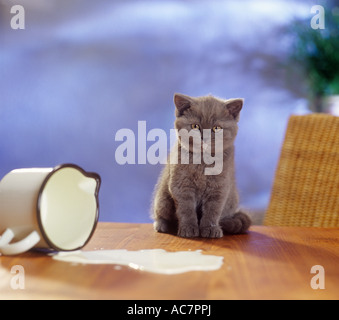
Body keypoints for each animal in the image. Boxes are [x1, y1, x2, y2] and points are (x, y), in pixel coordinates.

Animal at [152, 92, 252, 238]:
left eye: (216, 128)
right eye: (195, 126)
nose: (205, 137)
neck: (203, 163)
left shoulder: (220, 187)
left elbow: (213, 210)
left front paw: (210, 229)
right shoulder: (181, 185)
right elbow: (186, 208)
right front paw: (188, 229)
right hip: (162, 198)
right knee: (160, 212)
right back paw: (162, 225)